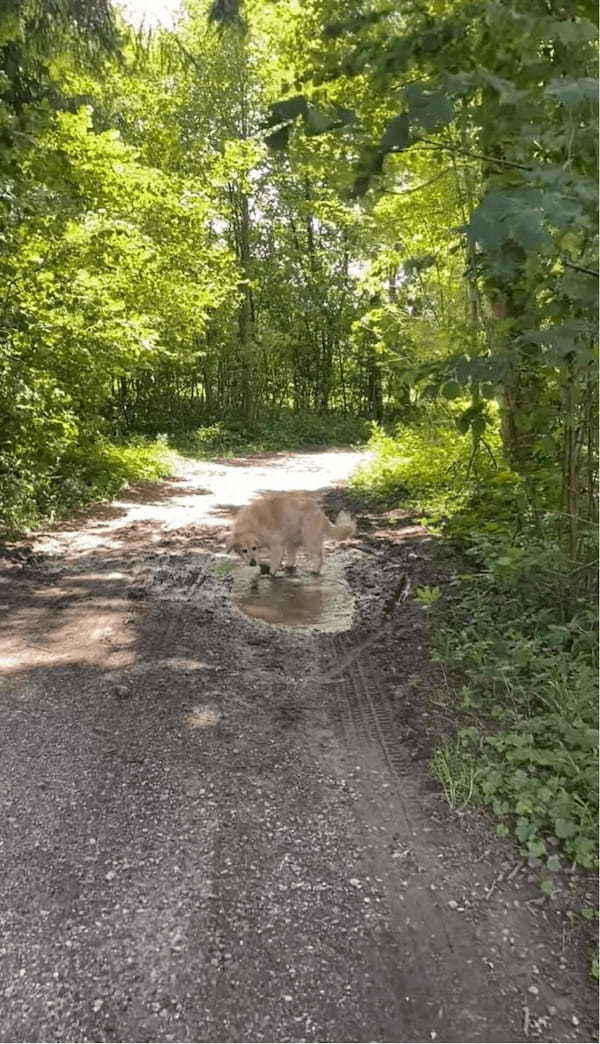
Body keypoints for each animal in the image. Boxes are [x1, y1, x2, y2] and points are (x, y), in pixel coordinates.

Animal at [225, 490, 356, 576]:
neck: (250, 525)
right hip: (291, 538)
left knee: (319, 556)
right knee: (293, 555)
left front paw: (271, 572)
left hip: (309, 538)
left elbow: (275, 560)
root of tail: (320, 511)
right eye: (244, 550)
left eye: (254, 548)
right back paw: (289, 565)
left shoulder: (276, 544)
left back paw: (315, 570)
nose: (252, 563)